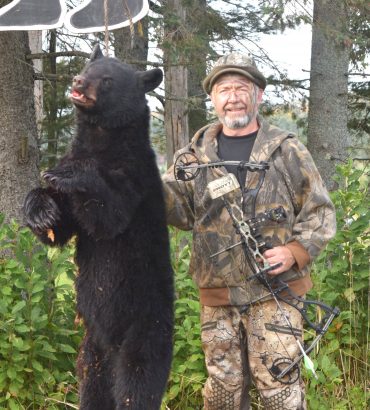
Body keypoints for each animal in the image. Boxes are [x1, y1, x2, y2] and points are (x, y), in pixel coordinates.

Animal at [23, 44, 174, 410]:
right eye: (86, 68)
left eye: (107, 79)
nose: (78, 80)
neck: (101, 138)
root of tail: (112, 344)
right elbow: (64, 223)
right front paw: (40, 211)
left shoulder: (133, 175)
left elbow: (110, 214)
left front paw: (71, 173)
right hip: (91, 349)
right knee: (93, 385)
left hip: (146, 330)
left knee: (137, 384)